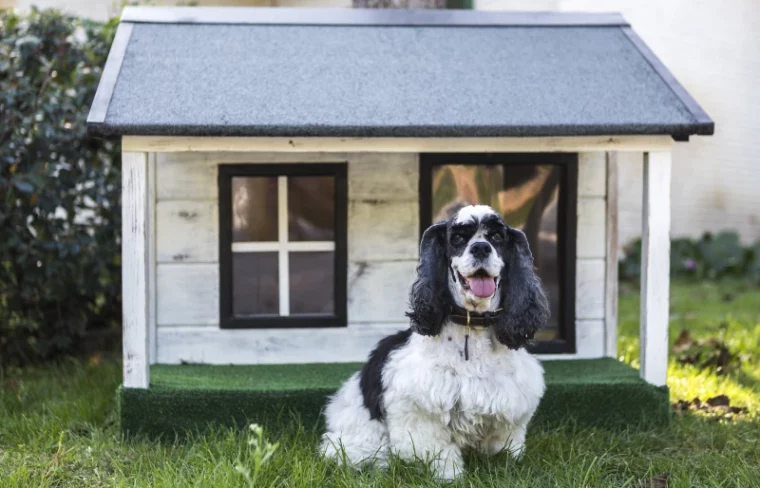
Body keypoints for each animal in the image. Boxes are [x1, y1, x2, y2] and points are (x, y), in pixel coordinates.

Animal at [320, 204, 548, 478]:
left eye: (497, 237)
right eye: (458, 238)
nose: (480, 248)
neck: (472, 325)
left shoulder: (510, 407)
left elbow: (503, 446)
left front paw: (505, 468)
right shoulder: (420, 409)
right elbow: (439, 451)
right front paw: (450, 476)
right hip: (359, 437)